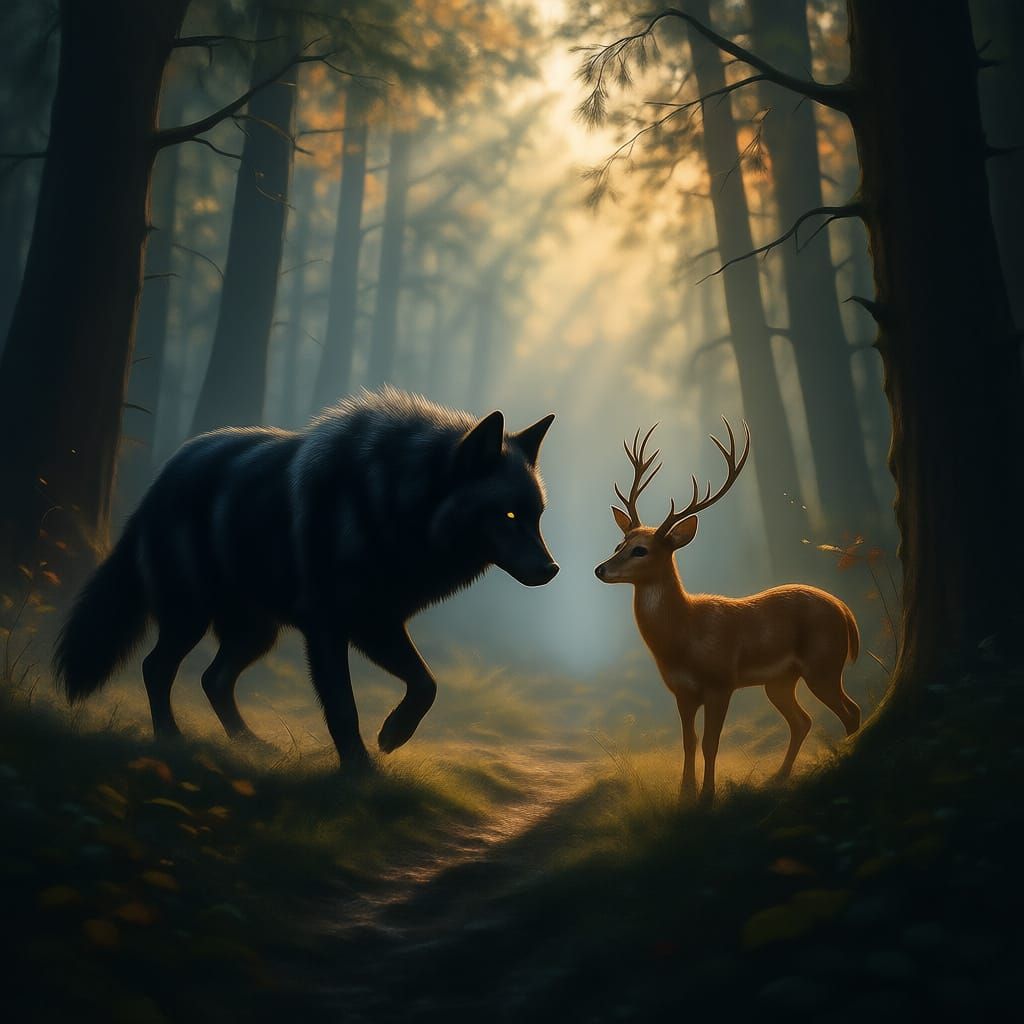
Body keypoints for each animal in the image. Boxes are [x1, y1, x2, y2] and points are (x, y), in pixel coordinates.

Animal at [54, 387, 559, 769]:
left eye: (536, 517)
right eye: (509, 516)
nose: (552, 569)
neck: (390, 507)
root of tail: (158, 483)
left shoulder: (377, 623)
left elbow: (427, 684)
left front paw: (392, 736)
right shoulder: (328, 628)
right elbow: (342, 707)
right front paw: (359, 771)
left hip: (256, 634)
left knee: (213, 679)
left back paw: (251, 745)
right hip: (191, 618)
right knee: (156, 668)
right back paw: (170, 740)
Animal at [594, 421, 861, 804]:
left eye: (640, 550)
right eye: (619, 544)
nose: (600, 569)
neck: (684, 636)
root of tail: (844, 609)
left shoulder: (721, 682)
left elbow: (710, 743)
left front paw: (707, 797)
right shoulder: (682, 691)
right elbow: (688, 742)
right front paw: (685, 795)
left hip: (824, 663)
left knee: (850, 711)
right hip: (781, 680)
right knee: (803, 721)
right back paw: (779, 777)